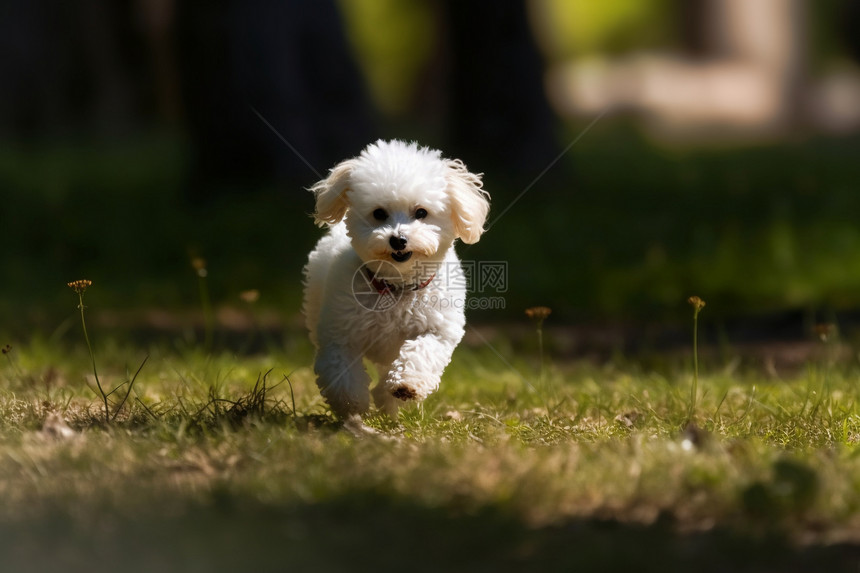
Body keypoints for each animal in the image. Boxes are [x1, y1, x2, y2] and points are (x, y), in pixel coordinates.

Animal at [302, 139, 490, 416]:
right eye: (379, 213)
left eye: (421, 212)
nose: (398, 240)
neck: (397, 287)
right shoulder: (340, 334)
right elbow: (342, 370)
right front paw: (351, 402)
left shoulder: (438, 330)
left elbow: (423, 351)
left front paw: (406, 384)